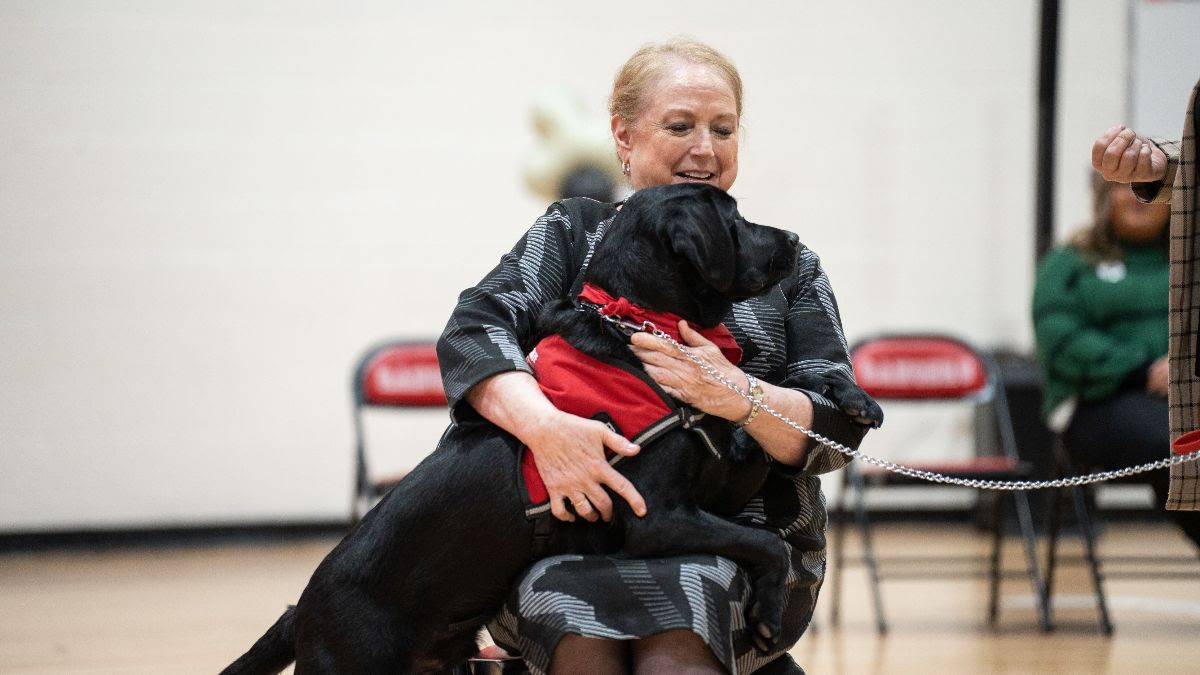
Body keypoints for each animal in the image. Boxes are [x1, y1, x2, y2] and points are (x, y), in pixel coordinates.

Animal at [225, 182, 806, 672]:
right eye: (735, 218)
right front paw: (767, 614)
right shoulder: (657, 518)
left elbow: (763, 440)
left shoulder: (713, 487)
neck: (638, 321)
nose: (796, 237)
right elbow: (765, 542)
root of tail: (301, 610)